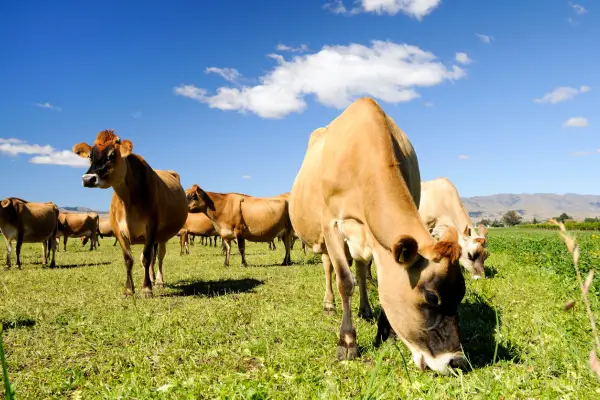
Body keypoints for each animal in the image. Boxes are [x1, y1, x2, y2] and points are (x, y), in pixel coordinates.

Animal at [73, 130, 189, 296]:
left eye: (112, 154)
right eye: (90, 156)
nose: (88, 179)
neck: (128, 202)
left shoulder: (152, 227)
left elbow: (146, 257)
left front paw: (146, 289)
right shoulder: (118, 229)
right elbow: (129, 259)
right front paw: (129, 289)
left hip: (162, 235)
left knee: (159, 256)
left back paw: (159, 281)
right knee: (153, 257)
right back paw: (152, 278)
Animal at [288, 97, 466, 376]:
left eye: (461, 294)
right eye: (430, 297)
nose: (456, 362)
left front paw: (386, 332)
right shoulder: (331, 224)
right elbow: (344, 281)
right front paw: (347, 342)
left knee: (361, 269)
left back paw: (365, 309)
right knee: (329, 268)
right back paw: (329, 304)